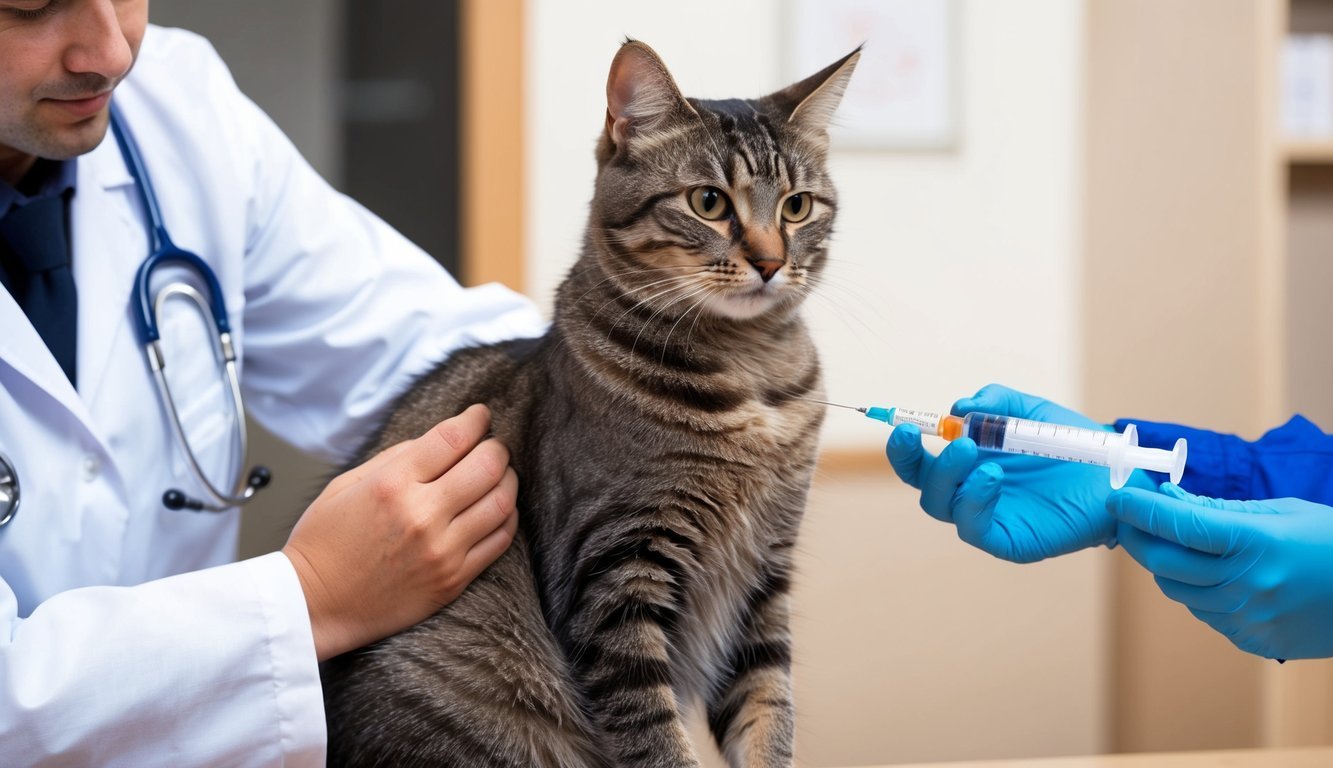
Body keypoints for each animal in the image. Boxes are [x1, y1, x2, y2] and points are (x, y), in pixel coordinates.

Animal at [323, 42, 863, 768]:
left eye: (798, 207)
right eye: (708, 201)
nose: (772, 262)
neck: (751, 368)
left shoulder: (764, 574)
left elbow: (767, 709)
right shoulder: (613, 573)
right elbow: (655, 734)